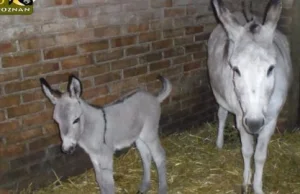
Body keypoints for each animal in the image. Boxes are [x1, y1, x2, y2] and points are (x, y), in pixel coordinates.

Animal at [40, 74, 171, 194]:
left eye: (76, 120)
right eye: (56, 121)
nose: (66, 149)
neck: (88, 129)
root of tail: (154, 97)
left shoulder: (106, 156)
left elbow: (108, 184)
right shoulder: (93, 155)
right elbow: (99, 180)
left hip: (150, 133)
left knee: (159, 155)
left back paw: (162, 189)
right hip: (139, 136)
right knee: (146, 156)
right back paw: (144, 186)